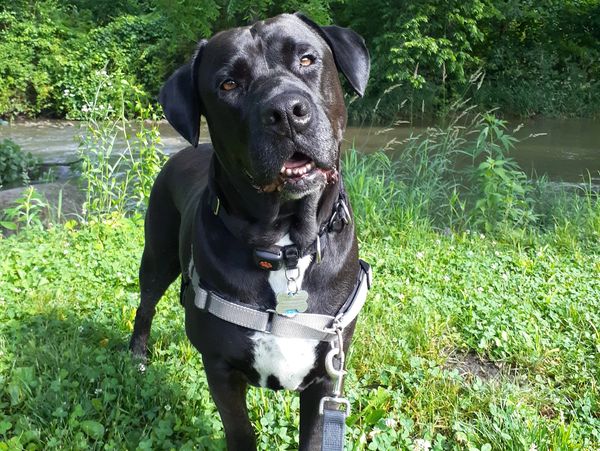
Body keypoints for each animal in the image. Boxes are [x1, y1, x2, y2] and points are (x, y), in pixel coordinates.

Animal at [132, 12, 372, 450]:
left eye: (307, 59)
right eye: (228, 84)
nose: (286, 111)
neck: (287, 244)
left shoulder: (327, 375)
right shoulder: (221, 369)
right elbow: (240, 431)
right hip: (157, 255)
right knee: (146, 304)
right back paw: (138, 357)